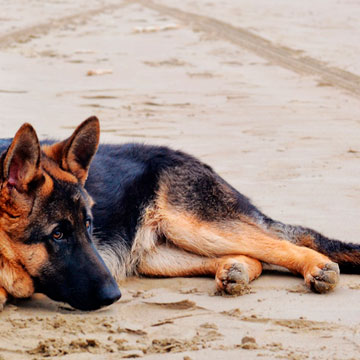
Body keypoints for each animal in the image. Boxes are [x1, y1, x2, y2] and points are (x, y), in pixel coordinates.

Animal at [0, 117, 358, 310]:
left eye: (89, 226)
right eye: (57, 234)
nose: (114, 295)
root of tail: (189, 158)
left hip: (195, 226)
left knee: (283, 245)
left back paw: (319, 268)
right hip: (159, 257)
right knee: (255, 257)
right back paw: (236, 270)